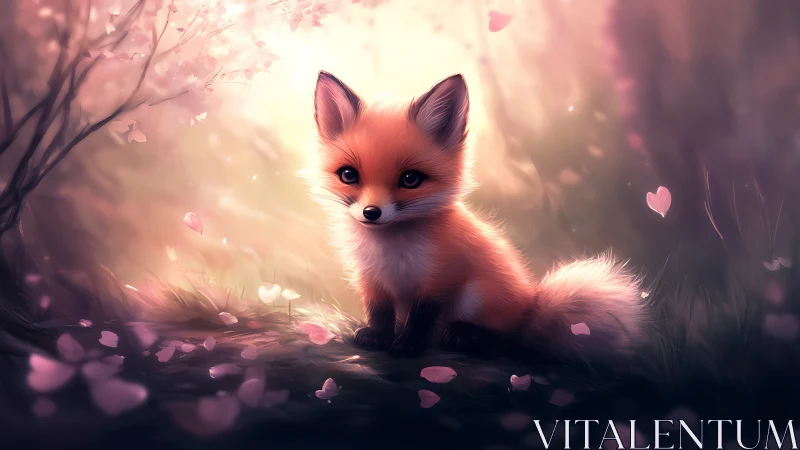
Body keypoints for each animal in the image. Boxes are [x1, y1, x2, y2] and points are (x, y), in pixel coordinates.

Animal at [304, 70, 649, 360]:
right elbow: (380, 312)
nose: (371, 213)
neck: (391, 250)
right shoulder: (371, 278)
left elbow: (421, 317)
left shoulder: (440, 277)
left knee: (510, 340)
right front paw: (377, 336)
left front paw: (409, 345)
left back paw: (465, 335)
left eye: (410, 179)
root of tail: (532, 305)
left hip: (475, 296)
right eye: (349, 175)